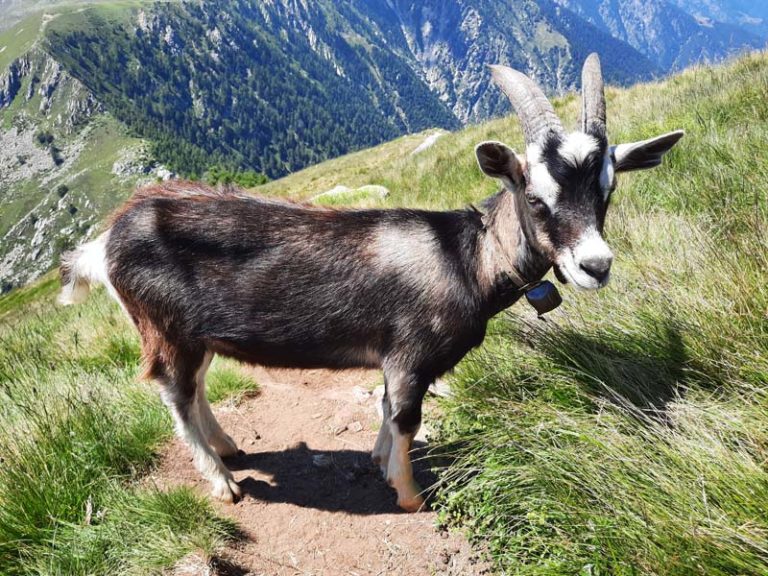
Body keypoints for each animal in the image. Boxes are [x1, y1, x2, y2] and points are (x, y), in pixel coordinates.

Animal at [60, 55, 684, 512]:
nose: (596, 266)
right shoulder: (410, 355)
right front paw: (408, 495)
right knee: (176, 397)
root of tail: (104, 243)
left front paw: (380, 464)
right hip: (165, 331)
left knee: (196, 391)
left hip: (200, 335)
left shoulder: (394, 360)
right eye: (535, 197)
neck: (465, 258)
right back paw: (222, 482)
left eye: (607, 193)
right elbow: (405, 419)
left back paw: (228, 446)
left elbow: (385, 412)